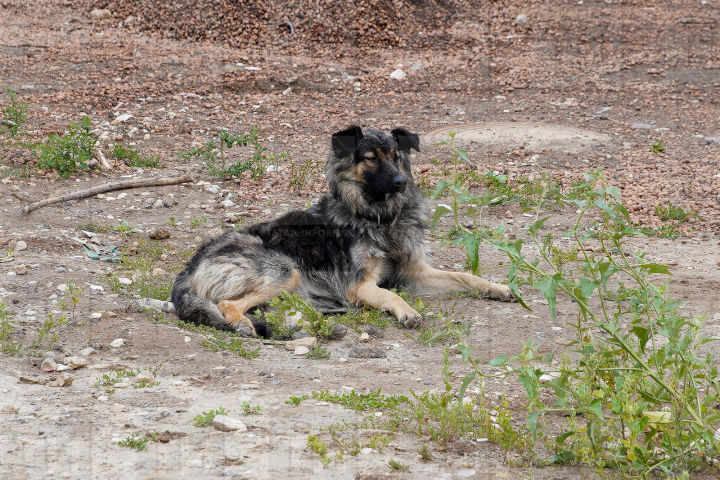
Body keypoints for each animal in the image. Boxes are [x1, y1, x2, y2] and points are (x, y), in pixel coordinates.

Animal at [172, 127, 516, 338]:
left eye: (395, 157)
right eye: (371, 158)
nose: (401, 182)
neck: (380, 219)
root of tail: (190, 268)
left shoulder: (415, 272)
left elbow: (464, 276)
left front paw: (497, 287)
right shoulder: (360, 286)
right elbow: (390, 293)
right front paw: (406, 311)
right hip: (286, 272)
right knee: (227, 305)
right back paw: (244, 324)